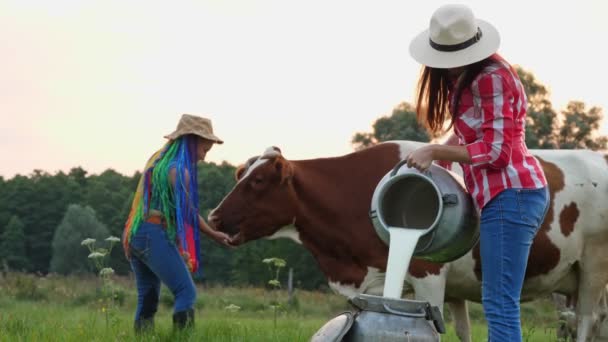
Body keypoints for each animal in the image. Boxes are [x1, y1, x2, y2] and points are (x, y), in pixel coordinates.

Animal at [208, 142, 608, 342]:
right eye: (240, 174)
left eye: (258, 182)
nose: (213, 217)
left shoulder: (429, 274)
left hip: (593, 266)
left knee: (586, 322)